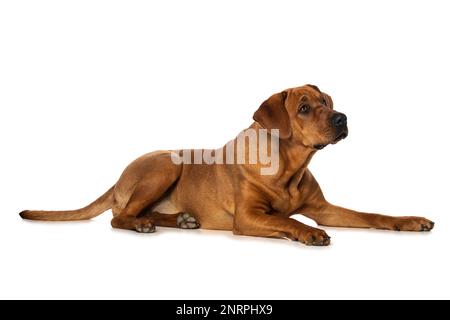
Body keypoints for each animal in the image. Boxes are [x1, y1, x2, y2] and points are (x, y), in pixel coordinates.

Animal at [18, 84, 436, 245]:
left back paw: (178, 220)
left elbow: (371, 215)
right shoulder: (249, 217)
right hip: (165, 166)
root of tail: (118, 176)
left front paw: (410, 221)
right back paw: (141, 225)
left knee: (144, 212)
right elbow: (286, 220)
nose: (342, 118)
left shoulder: (324, 209)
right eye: (304, 108)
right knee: (119, 216)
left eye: (327, 103)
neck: (290, 168)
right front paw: (306, 233)